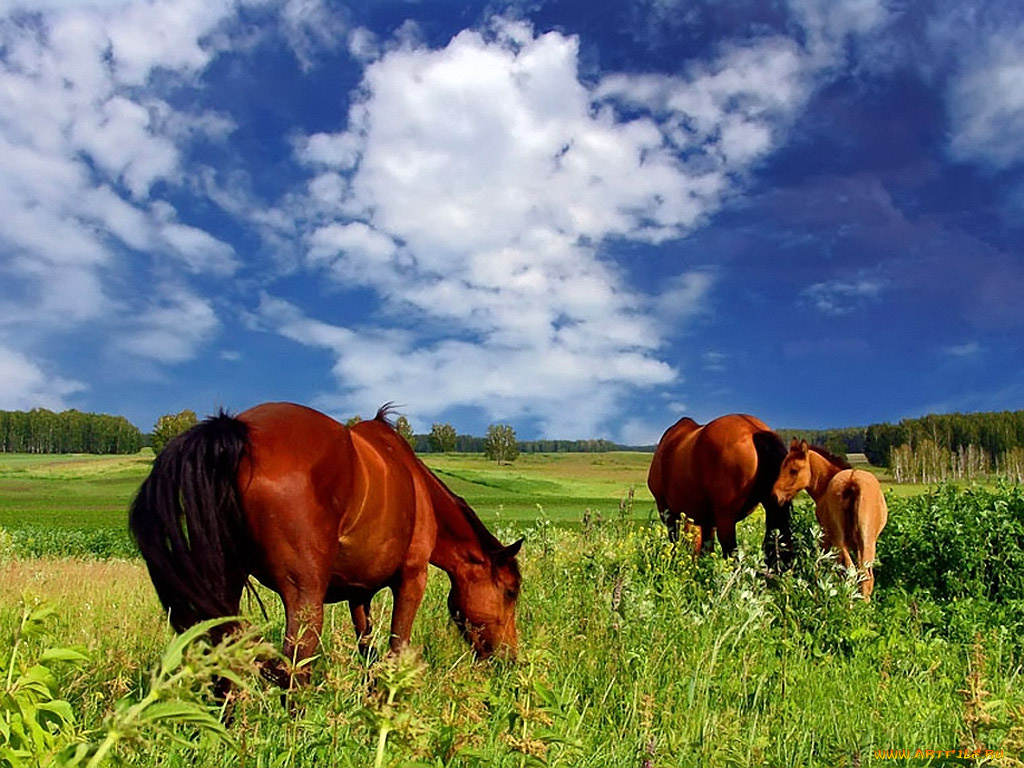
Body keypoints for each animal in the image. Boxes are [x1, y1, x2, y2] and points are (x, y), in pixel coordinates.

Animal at [129, 403, 524, 684]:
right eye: (509, 592)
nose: (510, 658)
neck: (417, 488)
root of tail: (238, 432)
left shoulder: (359, 594)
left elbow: (368, 649)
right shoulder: (412, 578)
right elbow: (395, 649)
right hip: (305, 596)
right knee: (294, 669)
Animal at [647, 415, 790, 573]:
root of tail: (754, 429)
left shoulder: (668, 512)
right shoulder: (707, 520)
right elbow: (705, 548)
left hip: (725, 519)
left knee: (732, 554)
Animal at [770, 438, 884, 602]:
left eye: (794, 470)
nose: (775, 496)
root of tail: (852, 481)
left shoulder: (826, 537)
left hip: (840, 540)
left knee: (852, 571)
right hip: (866, 542)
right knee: (864, 575)